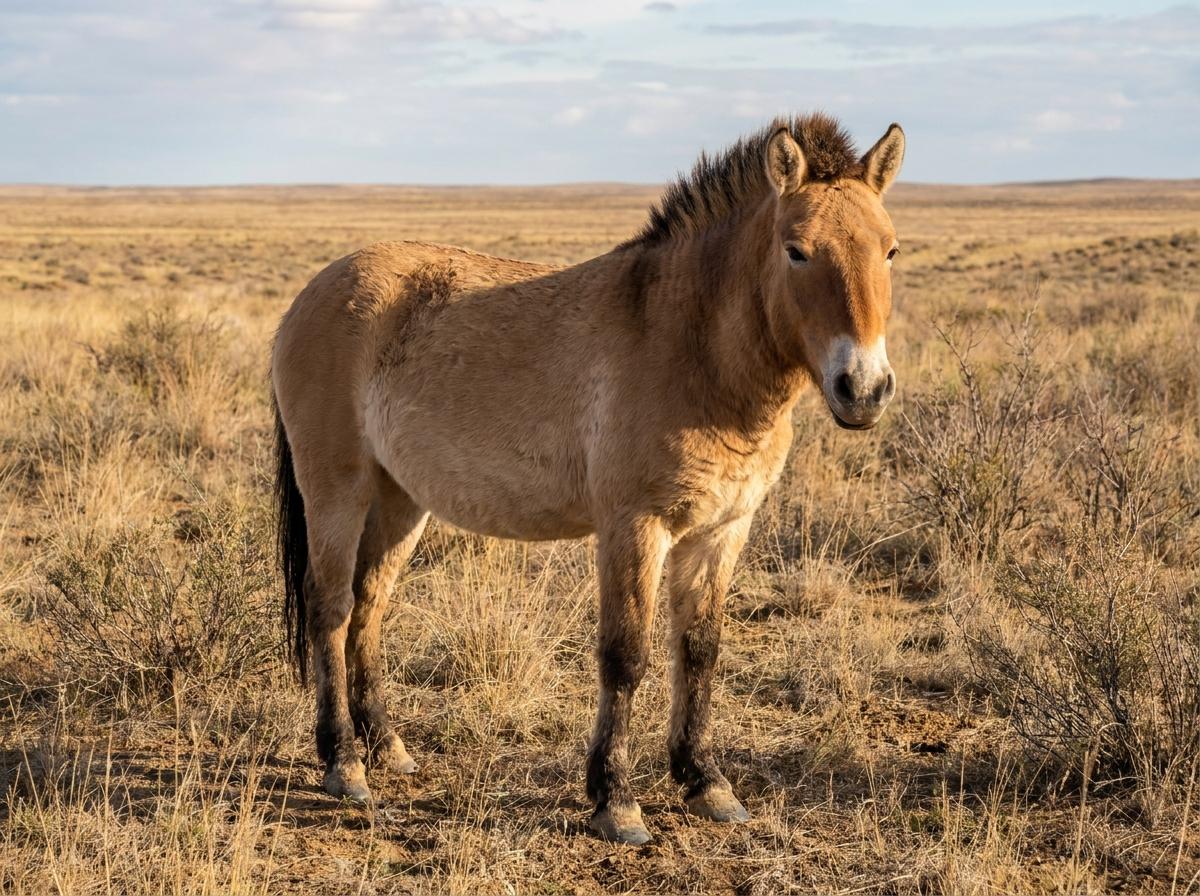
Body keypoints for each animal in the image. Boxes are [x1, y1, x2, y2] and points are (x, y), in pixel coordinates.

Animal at [271, 112, 905, 844]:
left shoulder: (721, 530)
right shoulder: (634, 527)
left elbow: (700, 650)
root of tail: (311, 293)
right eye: (797, 251)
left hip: (401, 499)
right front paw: (616, 801)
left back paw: (388, 748)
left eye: (891, 251)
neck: (689, 346)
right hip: (337, 490)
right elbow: (625, 655)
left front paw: (705, 783)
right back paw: (344, 764)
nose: (863, 389)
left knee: (369, 604)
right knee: (330, 607)